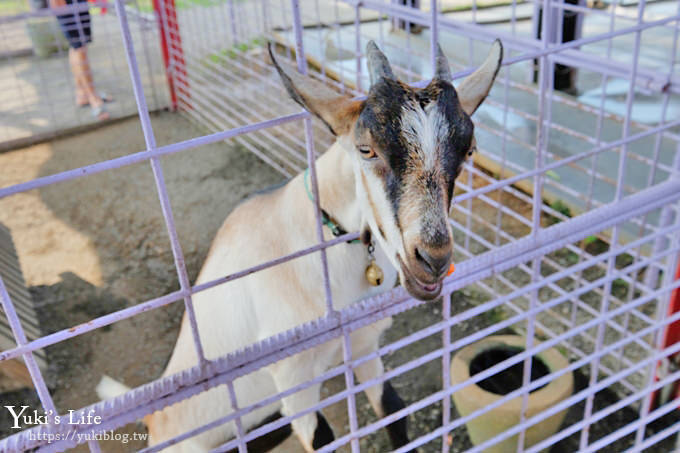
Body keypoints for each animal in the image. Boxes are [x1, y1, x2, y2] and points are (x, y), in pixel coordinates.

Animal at [97, 39, 500, 452]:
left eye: (469, 150)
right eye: (366, 149)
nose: (433, 259)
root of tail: (154, 419)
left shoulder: (363, 342)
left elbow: (393, 408)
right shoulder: (293, 377)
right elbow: (322, 438)